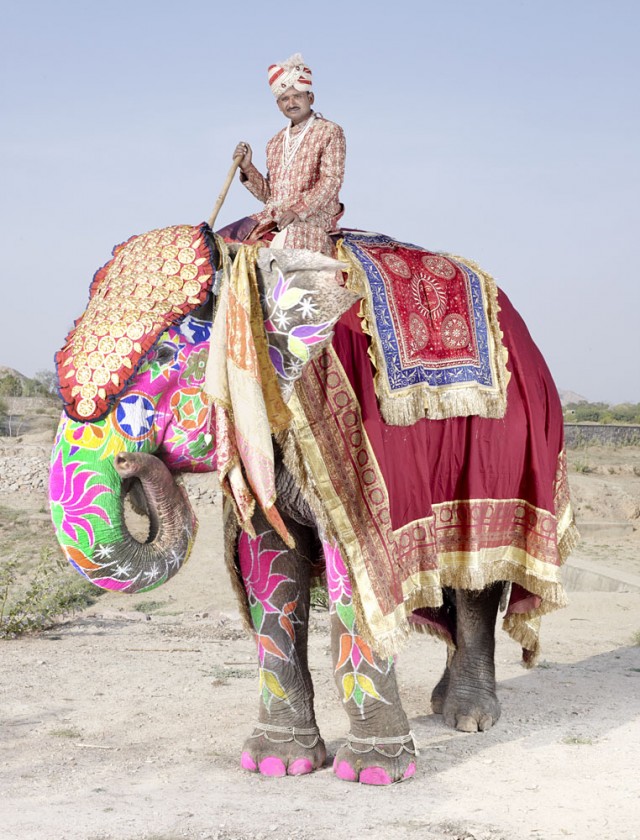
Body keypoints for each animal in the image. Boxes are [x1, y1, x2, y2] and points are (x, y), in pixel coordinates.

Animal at [51, 223, 580, 788]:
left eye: (165, 358)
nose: (131, 464)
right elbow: (266, 566)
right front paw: (277, 764)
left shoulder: (355, 448)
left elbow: (357, 562)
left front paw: (373, 773)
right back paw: (441, 705)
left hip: (509, 455)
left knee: (478, 573)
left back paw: (469, 718)